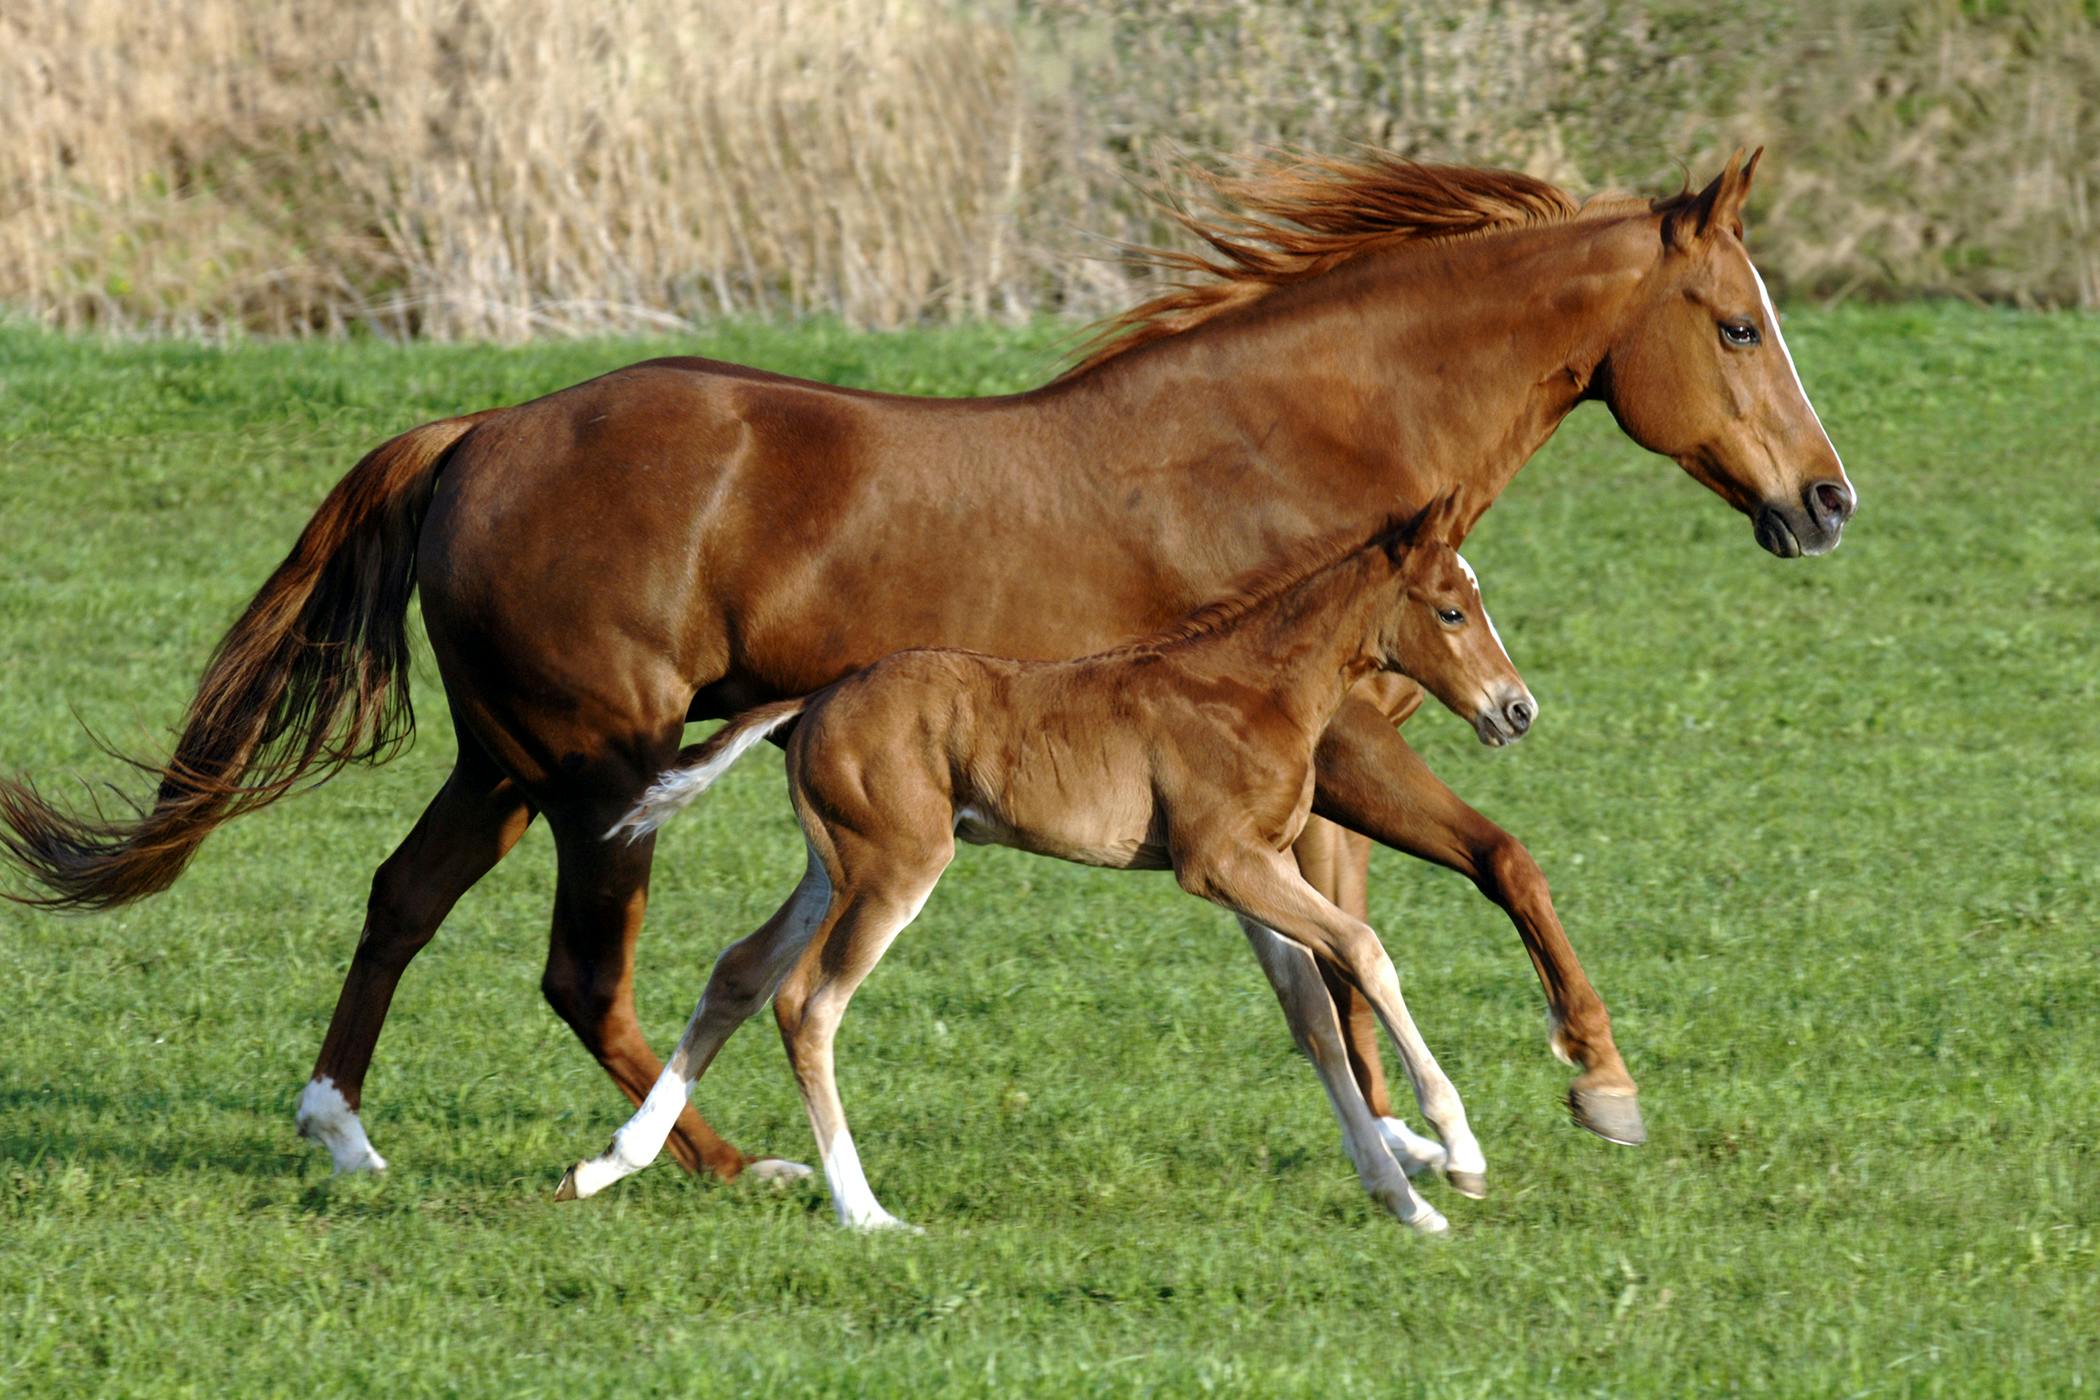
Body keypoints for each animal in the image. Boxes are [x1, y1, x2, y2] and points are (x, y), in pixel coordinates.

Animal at [559, 492, 1527, 1232]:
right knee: (807, 1004)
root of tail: (817, 700)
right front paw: (1459, 1152)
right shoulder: (1220, 863)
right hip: (895, 868)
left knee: (740, 972)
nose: (1517, 710)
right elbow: (1364, 950)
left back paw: (609, 1163)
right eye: (1451, 609)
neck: (1255, 688)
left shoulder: (1260, 871)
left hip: (831, 867)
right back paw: (865, 1213)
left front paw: (1406, 1202)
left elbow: (1315, 1018)